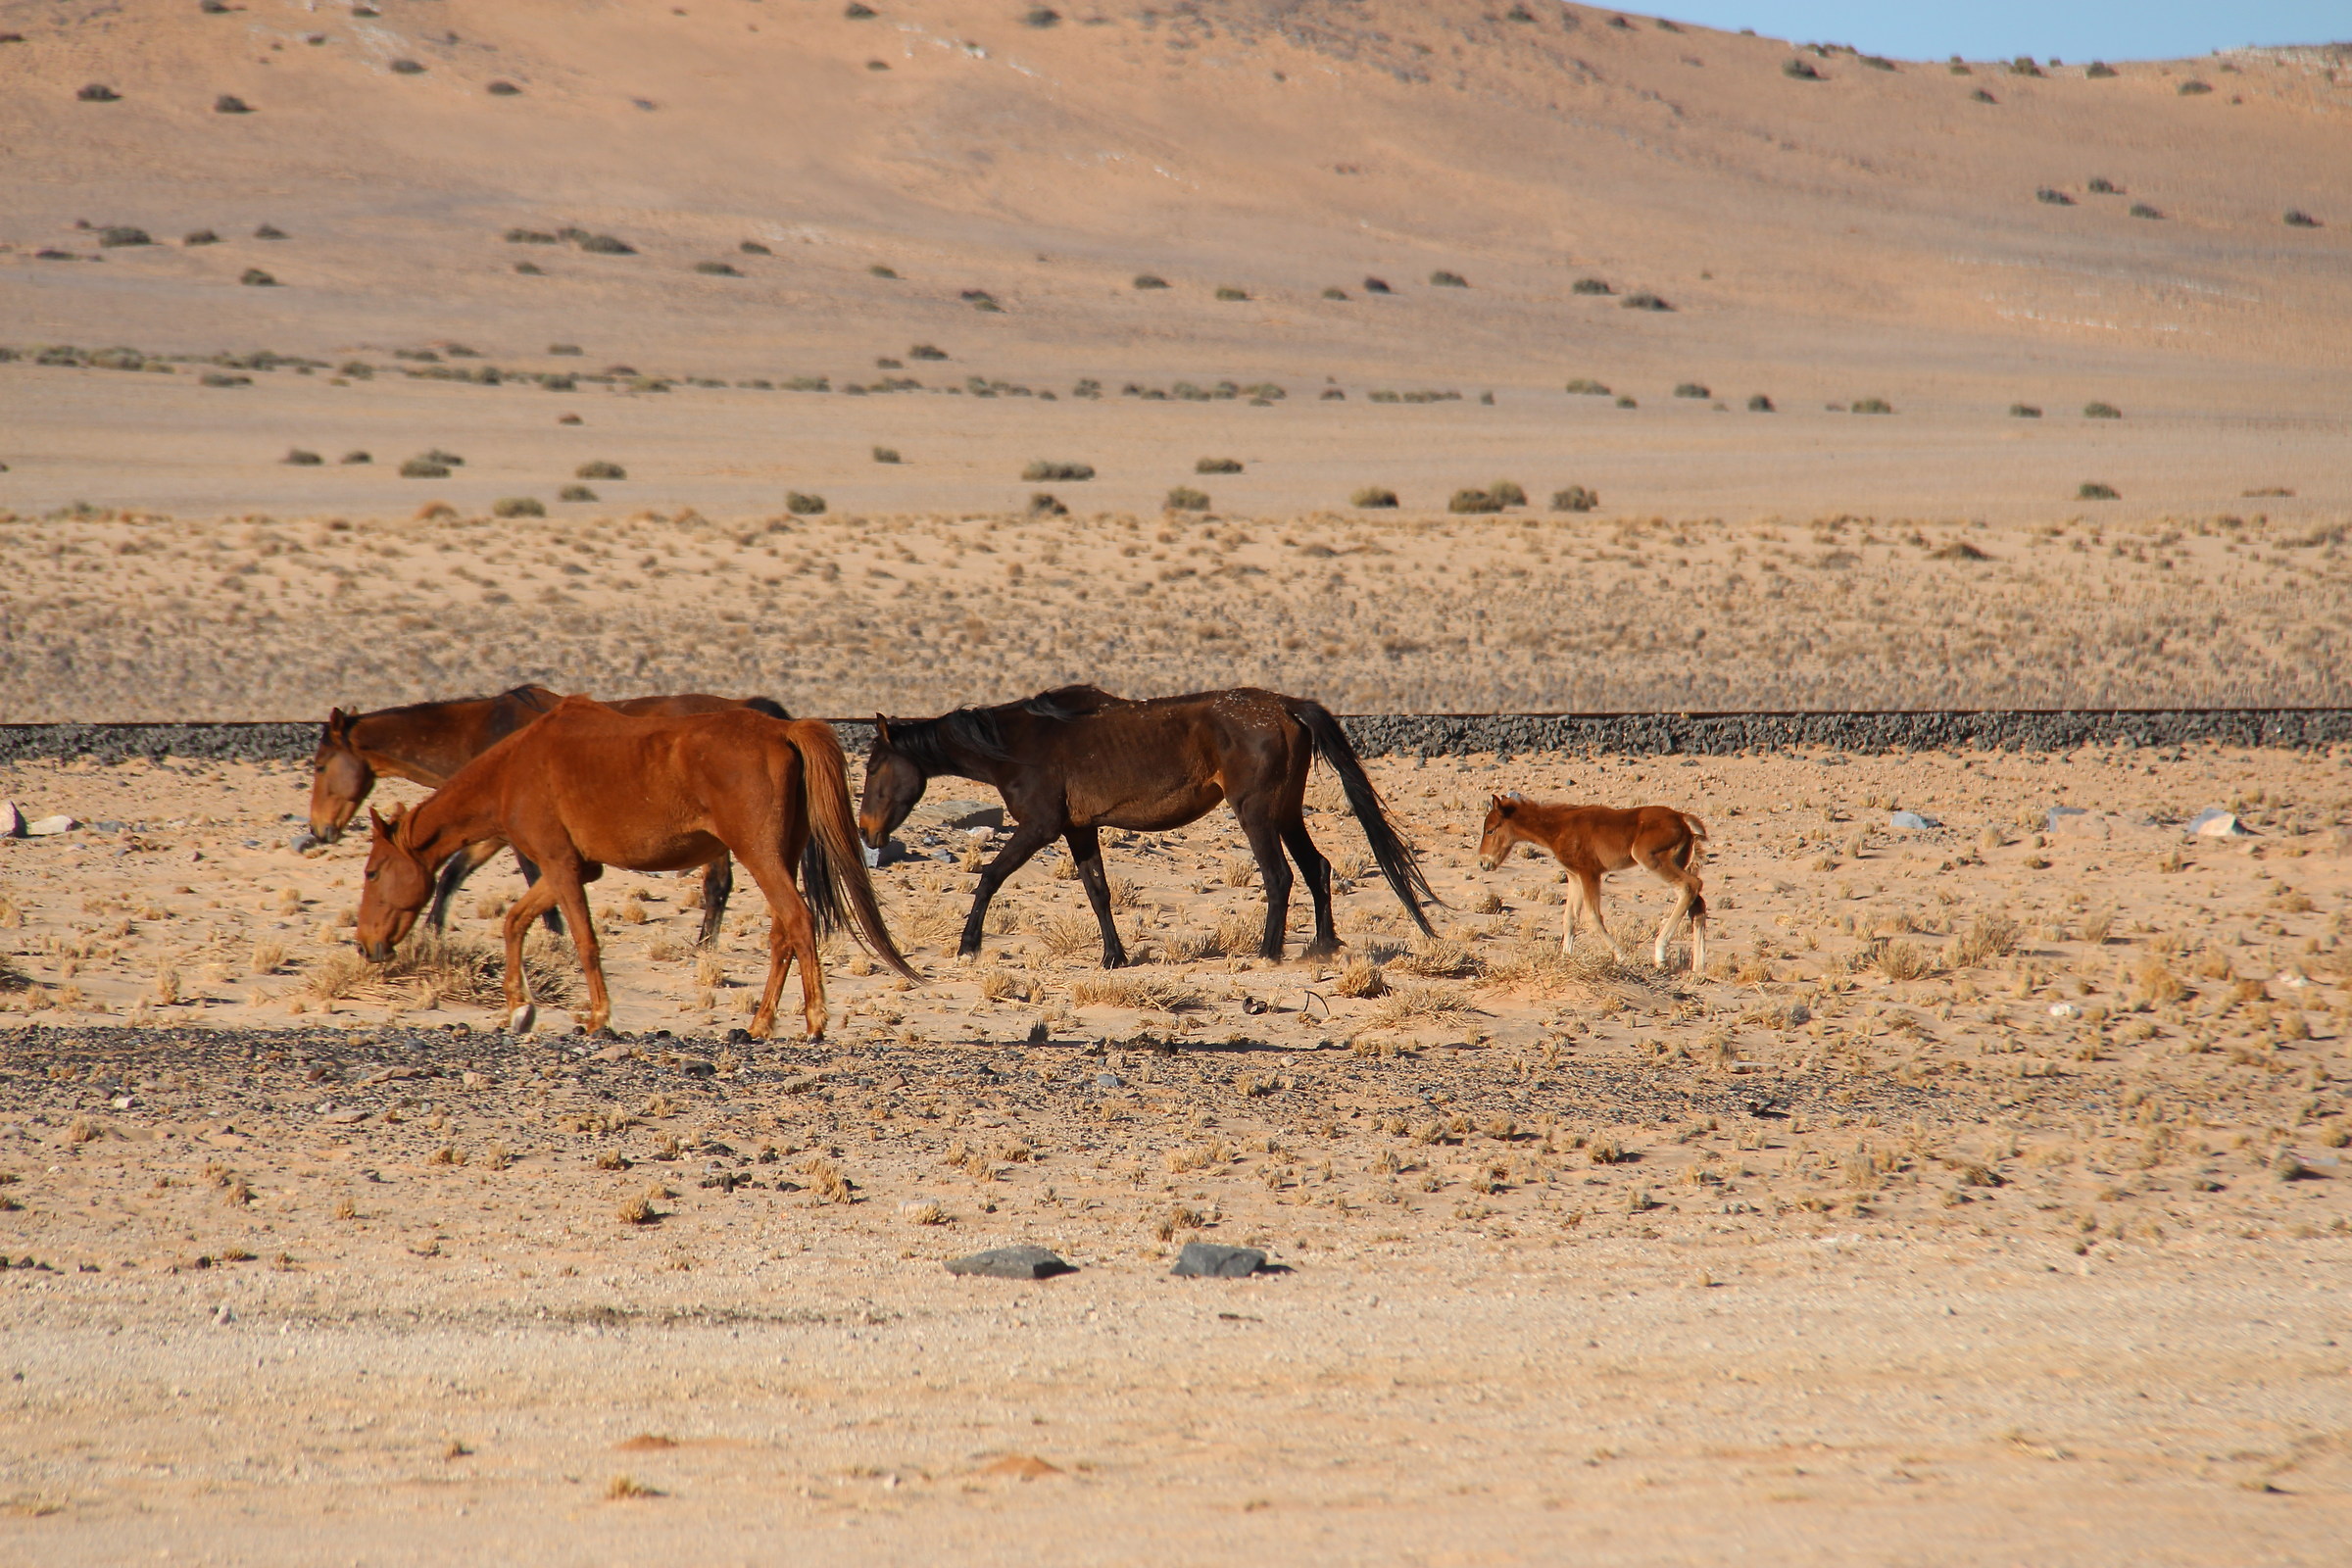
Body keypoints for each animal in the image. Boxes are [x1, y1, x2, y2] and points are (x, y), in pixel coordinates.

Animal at [308, 685, 790, 944]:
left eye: (319, 765)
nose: (319, 829)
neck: (485, 735)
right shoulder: (493, 833)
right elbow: (452, 874)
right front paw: (432, 931)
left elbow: (533, 879)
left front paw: (557, 937)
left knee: (718, 885)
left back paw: (703, 946)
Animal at [355, 696, 914, 1039]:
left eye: (372, 872)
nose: (366, 945)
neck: (516, 768)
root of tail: (785, 728)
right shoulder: (575, 869)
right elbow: (515, 921)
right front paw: (518, 1008)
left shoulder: (560, 865)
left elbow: (583, 941)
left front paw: (597, 1016)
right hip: (784, 855)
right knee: (783, 934)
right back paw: (759, 1025)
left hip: (760, 855)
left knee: (798, 921)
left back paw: (814, 1020)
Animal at [858, 685, 1434, 967]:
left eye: (872, 766)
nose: (866, 831)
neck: (1015, 746)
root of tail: (1287, 708)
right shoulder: (1078, 829)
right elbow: (1097, 891)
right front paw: (1113, 958)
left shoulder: (1039, 828)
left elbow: (989, 878)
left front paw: (968, 946)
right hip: (1286, 811)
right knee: (1317, 868)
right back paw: (1322, 946)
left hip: (1256, 813)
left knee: (1280, 876)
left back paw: (1268, 953)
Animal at [1476, 795, 1708, 971]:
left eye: (1490, 830)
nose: (1483, 862)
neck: (1559, 827)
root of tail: (1683, 818)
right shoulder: (1574, 875)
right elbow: (1569, 918)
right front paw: (1566, 958)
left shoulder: (1590, 872)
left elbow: (1593, 916)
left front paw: (1621, 956)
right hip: (1680, 860)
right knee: (1697, 904)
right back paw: (1698, 969)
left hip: (1651, 858)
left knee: (1689, 886)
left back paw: (1661, 955)